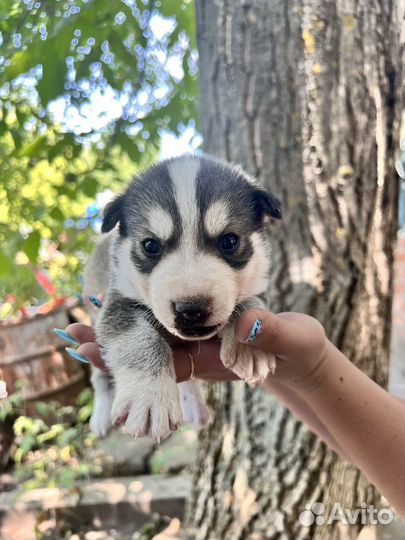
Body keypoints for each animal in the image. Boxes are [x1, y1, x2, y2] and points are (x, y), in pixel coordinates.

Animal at [84, 154, 280, 440]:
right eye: (150, 245)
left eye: (229, 241)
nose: (191, 309)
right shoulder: (117, 302)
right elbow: (138, 338)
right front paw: (149, 395)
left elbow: (250, 304)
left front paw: (250, 343)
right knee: (97, 375)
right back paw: (100, 415)